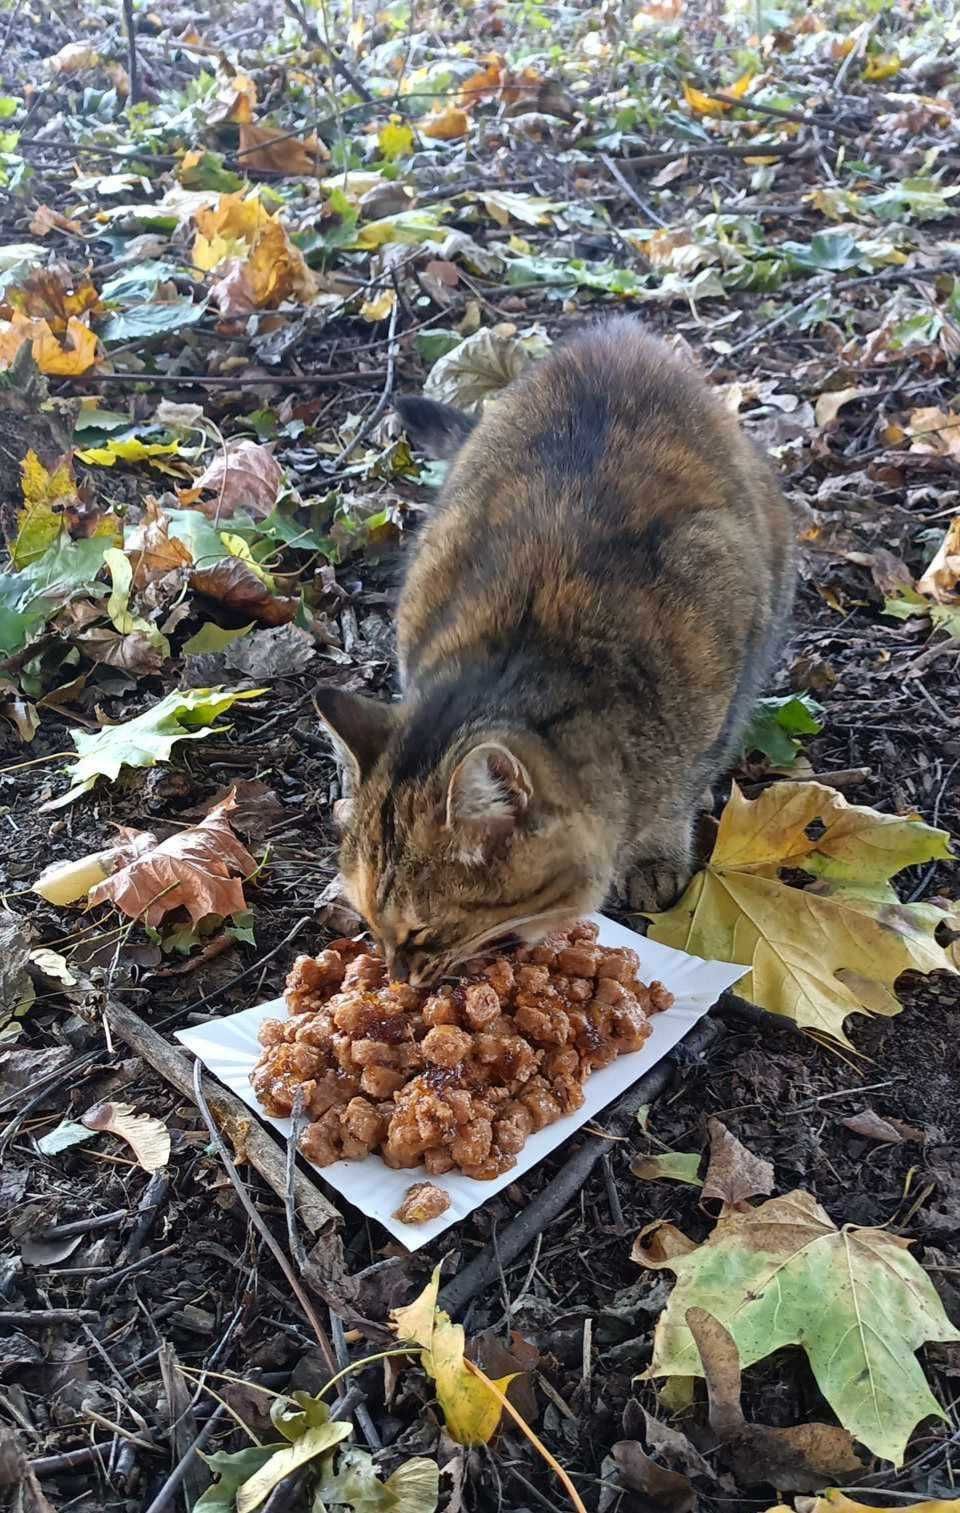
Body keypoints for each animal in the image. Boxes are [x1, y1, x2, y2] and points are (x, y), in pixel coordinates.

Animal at [312, 313, 798, 986]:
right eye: (368, 922)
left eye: (423, 931)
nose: (396, 977)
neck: (522, 659)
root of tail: (617, 332)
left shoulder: (721, 652)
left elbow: (680, 788)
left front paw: (655, 854)